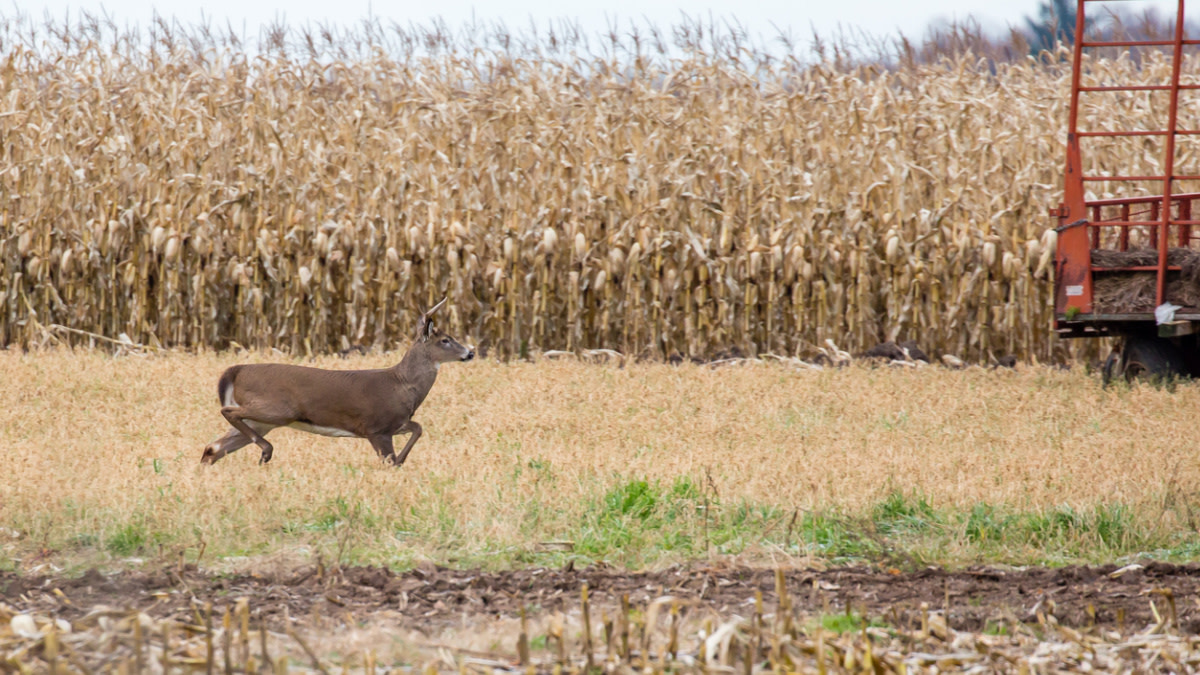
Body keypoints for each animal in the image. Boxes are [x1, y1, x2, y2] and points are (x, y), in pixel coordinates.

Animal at [200, 299, 474, 467]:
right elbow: (390, 457)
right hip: (276, 409)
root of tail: (237, 370)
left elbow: (418, 428)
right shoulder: (376, 427)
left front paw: (401, 462)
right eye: (445, 340)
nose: (470, 352)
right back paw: (266, 451)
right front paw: (397, 464)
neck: (401, 384)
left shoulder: (396, 423)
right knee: (227, 412)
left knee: (213, 447)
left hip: (262, 421)